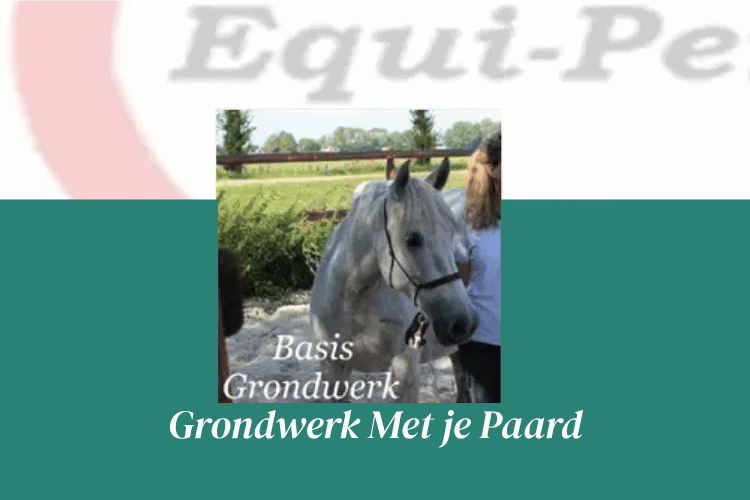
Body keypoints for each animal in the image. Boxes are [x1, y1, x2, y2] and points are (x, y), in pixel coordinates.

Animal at [310, 158, 479, 402]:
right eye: (412, 239)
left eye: (451, 233)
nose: (464, 323)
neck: (353, 304)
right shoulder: (332, 372)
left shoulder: (405, 369)